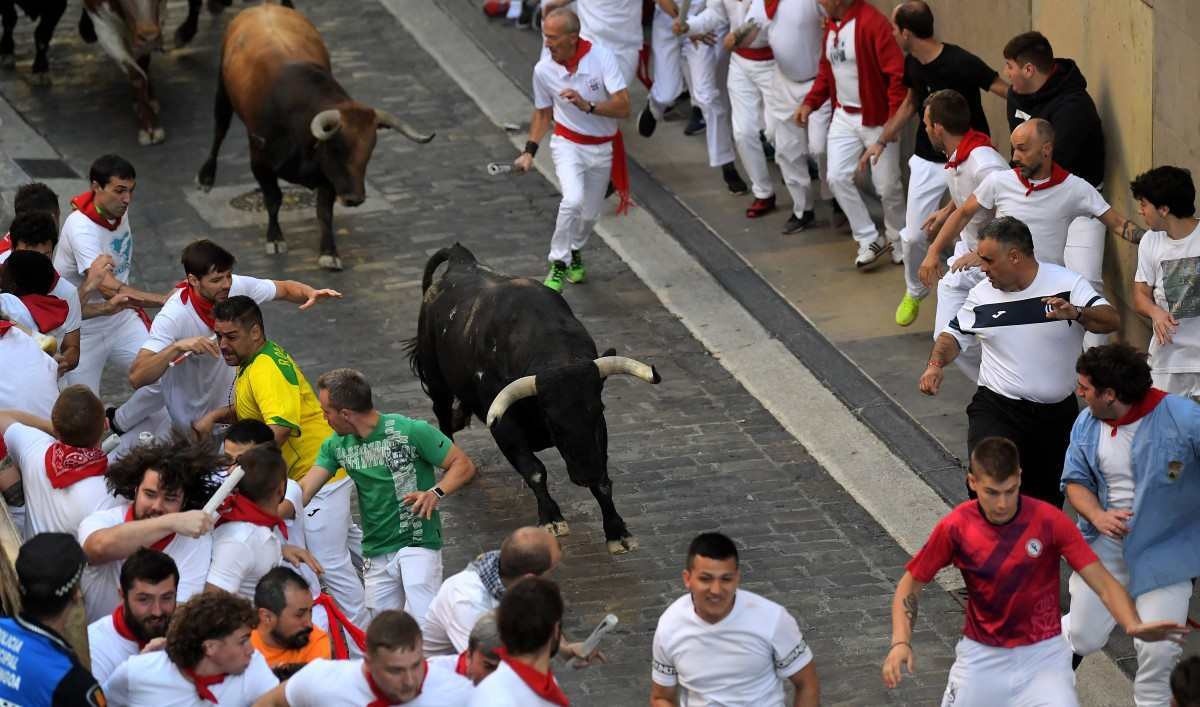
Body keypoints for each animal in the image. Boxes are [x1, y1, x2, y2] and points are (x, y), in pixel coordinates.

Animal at [198, 4, 436, 270]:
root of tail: (264, 6)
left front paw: (329, 253)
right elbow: (273, 199)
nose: (354, 198)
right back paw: (206, 176)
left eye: (369, 150)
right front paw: (275, 238)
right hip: (222, 94)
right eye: (337, 148)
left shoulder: (328, 177)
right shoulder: (260, 161)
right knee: (219, 130)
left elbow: (324, 212)